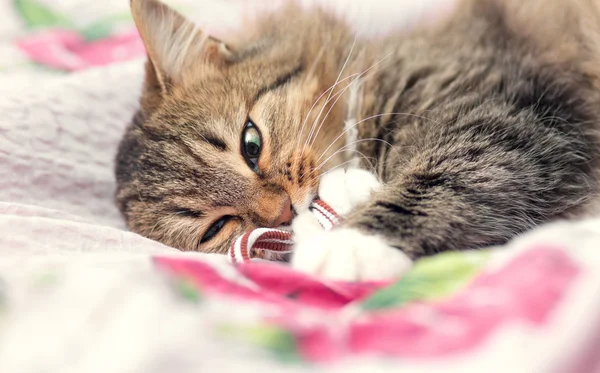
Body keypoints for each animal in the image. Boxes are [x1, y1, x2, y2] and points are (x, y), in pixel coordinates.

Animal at [113, 0, 600, 280]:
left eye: (250, 144)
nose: (283, 211)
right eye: (217, 227)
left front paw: (352, 246)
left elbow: (438, 180)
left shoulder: (498, 110)